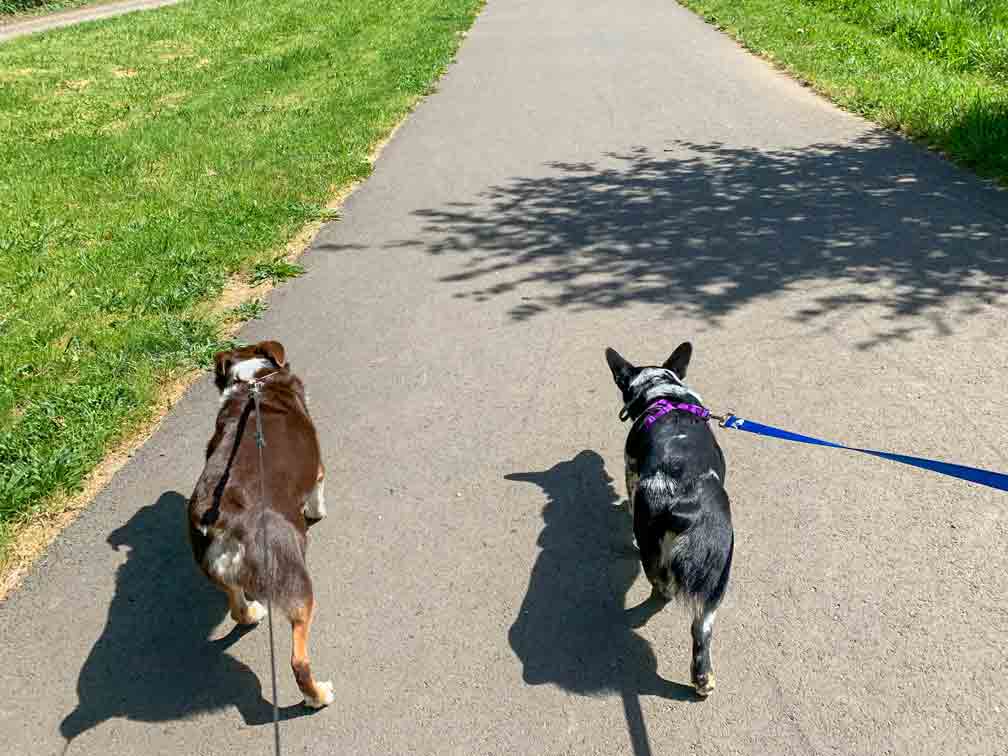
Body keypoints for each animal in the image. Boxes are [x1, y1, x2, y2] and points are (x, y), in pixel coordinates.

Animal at [187, 342, 332, 709]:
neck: (254, 380)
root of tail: (221, 522)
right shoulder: (319, 470)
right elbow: (318, 495)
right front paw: (318, 512)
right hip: (295, 580)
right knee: (298, 660)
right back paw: (318, 696)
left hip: (214, 570)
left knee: (236, 608)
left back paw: (252, 613)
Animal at [600, 342, 737, 697]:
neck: (661, 390)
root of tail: (682, 502)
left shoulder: (629, 471)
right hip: (719, 572)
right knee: (701, 629)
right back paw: (703, 681)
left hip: (655, 547)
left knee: (663, 587)